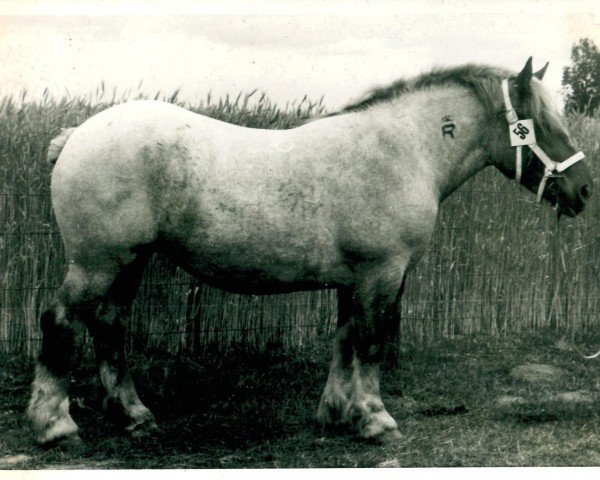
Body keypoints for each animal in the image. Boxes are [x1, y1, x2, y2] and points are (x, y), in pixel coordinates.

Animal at [27, 59, 592, 446]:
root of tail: (77, 134)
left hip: (129, 262)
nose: (584, 191)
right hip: (98, 263)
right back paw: (55, 424)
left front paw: (337, 412)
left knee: (109, 324)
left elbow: (344, 342)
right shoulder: (381, 274)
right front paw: (374, 418)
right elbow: (370, 342)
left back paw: (132, 415)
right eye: (541, 123)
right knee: (60, 320)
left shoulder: (354, 281)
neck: (399, 150)